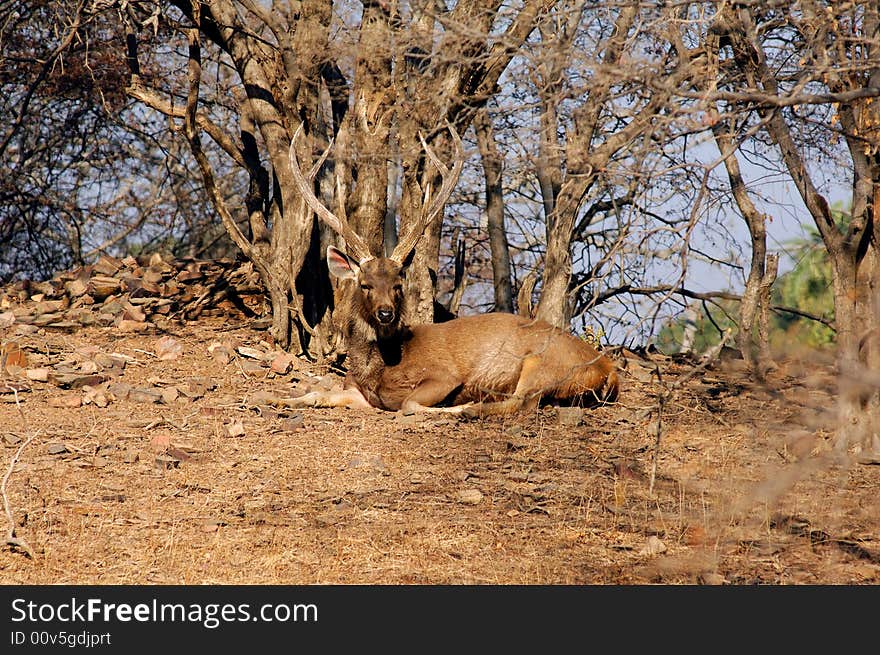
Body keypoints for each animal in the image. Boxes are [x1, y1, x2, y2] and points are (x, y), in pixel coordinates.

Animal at [288, 125, 620, 418]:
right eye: (365, 284)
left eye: (398, 283)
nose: (385, 313)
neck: (380, 368)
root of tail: (608, 370)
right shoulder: (357, 390)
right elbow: (317, 393)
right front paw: (286, 401)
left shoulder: (444, 375)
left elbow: (408, 403)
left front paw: (452, 406)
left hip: (542, 363)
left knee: (522, 402)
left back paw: (470, 408)